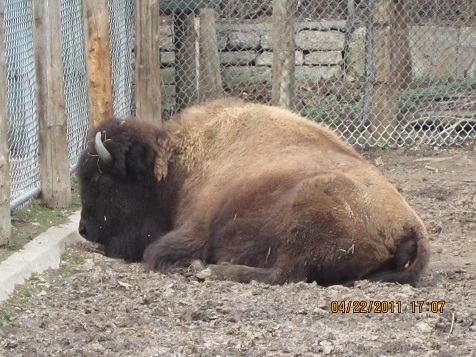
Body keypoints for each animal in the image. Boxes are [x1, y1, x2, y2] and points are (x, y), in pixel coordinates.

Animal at [77, 98, 428, 286]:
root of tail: (412, 227)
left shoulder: (193, 232)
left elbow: (156, 252)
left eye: (100, 182)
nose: (83, 230)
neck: (178, 164)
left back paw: (212, 270)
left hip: (307, 215)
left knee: (284, 273)